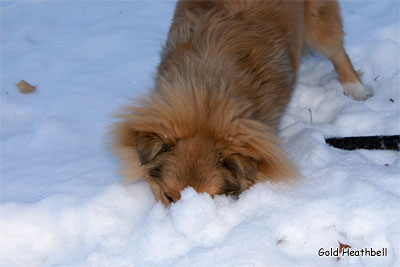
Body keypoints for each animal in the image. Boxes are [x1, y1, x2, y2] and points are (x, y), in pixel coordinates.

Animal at [110, 0, 372, 206]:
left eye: (211, 199)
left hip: (320, 22)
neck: (207, 95)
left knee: (338, 51)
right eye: (169, 197)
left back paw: (356, 88)